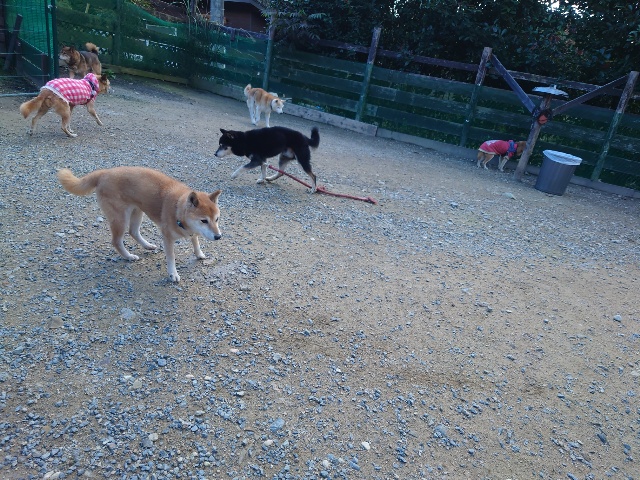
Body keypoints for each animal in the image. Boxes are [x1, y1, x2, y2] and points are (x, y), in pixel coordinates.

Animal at [56, 167, 222, 283]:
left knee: (133, 232)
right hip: (120, 218)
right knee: (116, 241)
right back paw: (129, 256)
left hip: (137, 212)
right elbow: (171, 258)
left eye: (216, 219)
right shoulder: (167, 237)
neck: (178, 209)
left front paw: (199, 254)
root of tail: (104, 172)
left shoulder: (193, 232)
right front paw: (173, 274)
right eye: (204, 221)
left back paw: (147, 245)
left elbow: (196, 241)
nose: (219, 236)